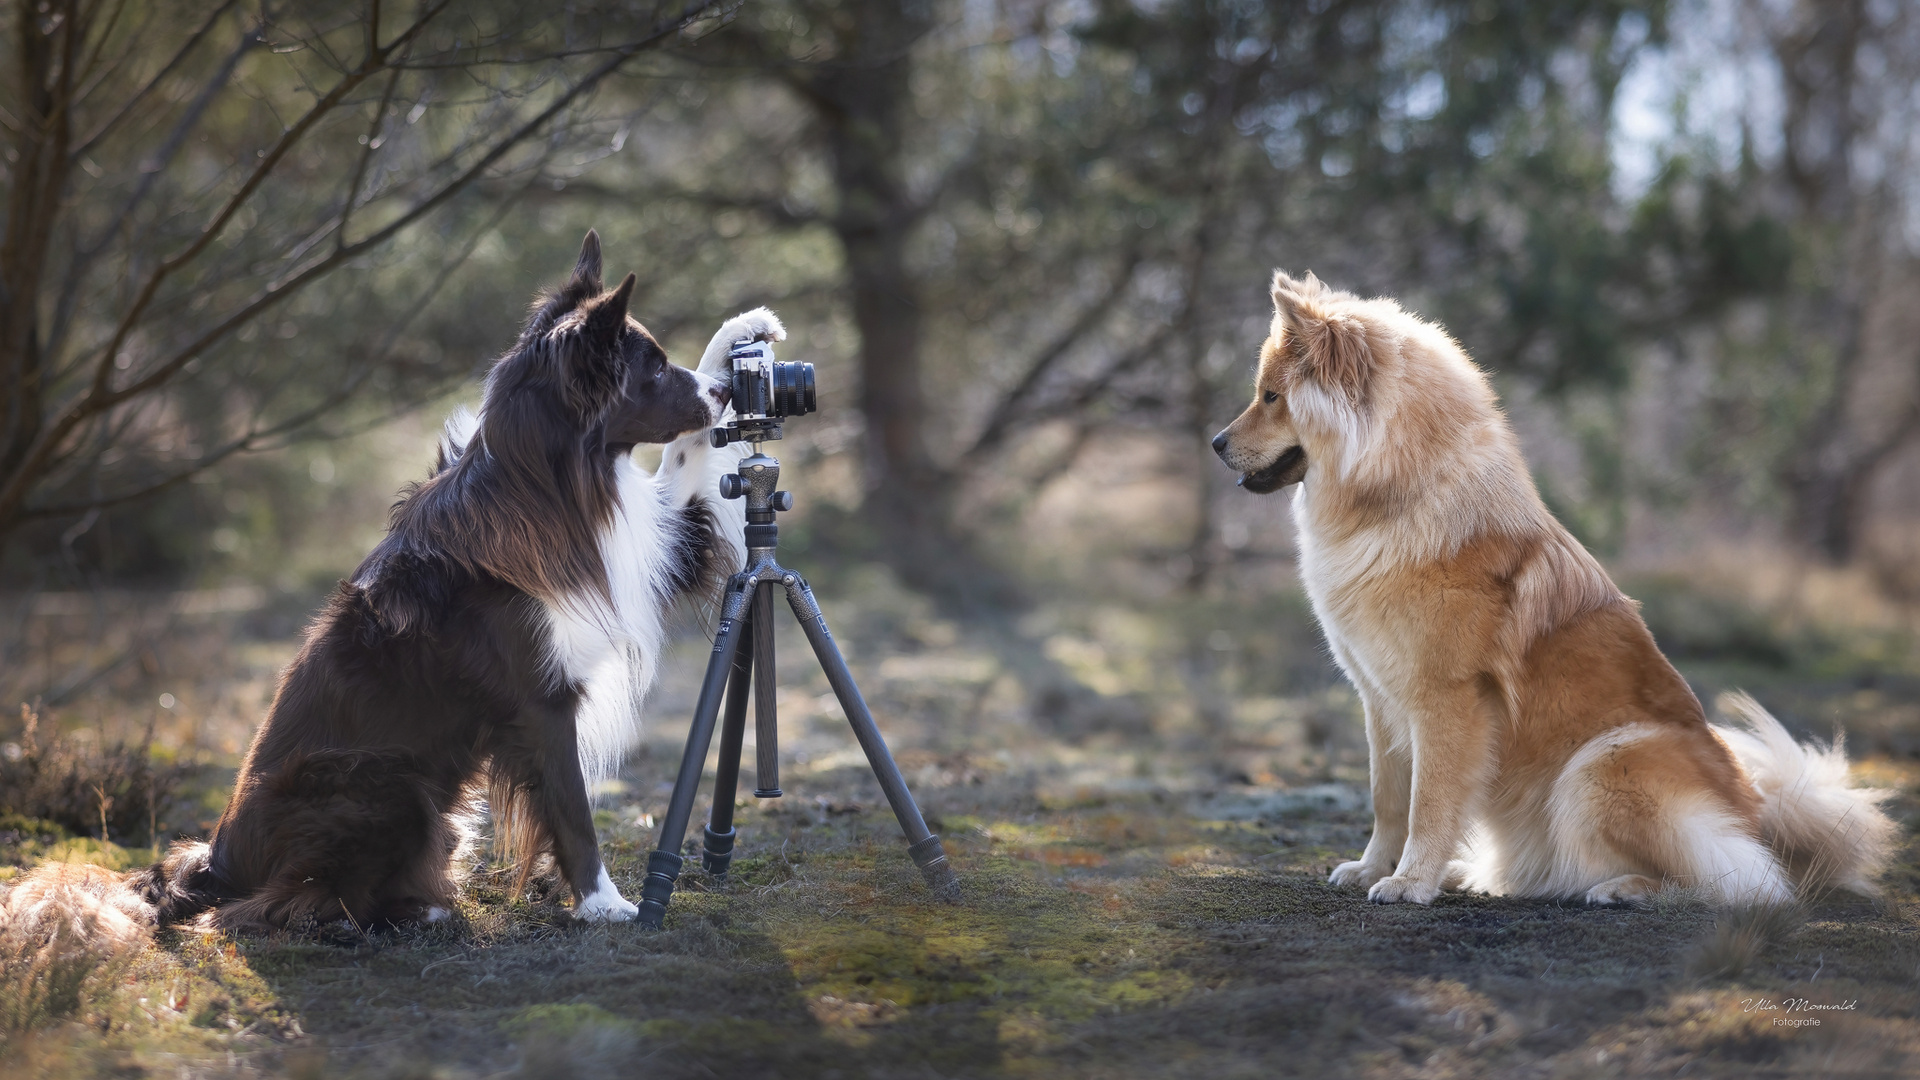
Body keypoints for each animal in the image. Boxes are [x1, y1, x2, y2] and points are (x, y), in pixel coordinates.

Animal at [1213, 269, 1889, 899]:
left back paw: (1620, 888)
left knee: (1731, 878)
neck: (1401, 498)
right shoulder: (1379, 699)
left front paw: (1410, 882)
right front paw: (1375, 868)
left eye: (1271, 396)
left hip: (1601, 765)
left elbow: (1429, 802)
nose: (1216, 443)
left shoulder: (1447, 701)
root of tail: (1761, 817)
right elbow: (1388, 798)